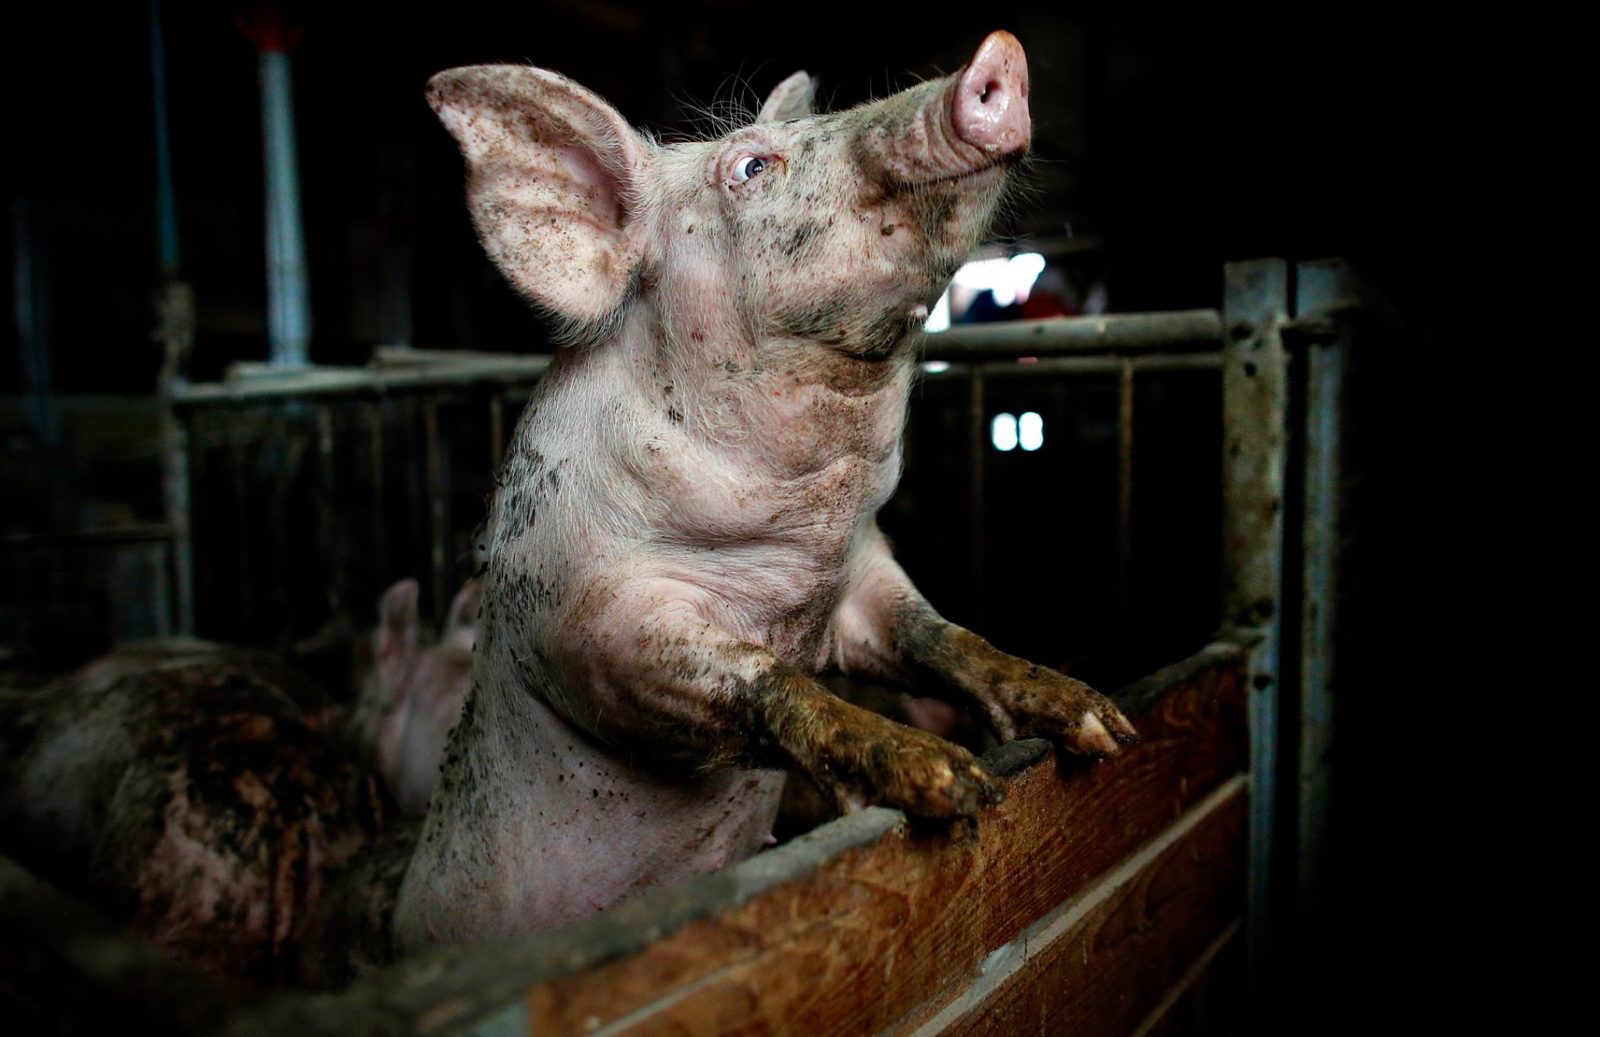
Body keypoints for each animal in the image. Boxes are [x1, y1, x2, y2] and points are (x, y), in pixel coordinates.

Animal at [394, 30, 1136, 950]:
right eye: (749, 167)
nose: (998, 52)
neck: (796, 549)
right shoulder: (586, 620)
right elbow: (761, 675)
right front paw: (954, 783)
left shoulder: (861, 576)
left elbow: (939, 635)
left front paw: (1101, 723)